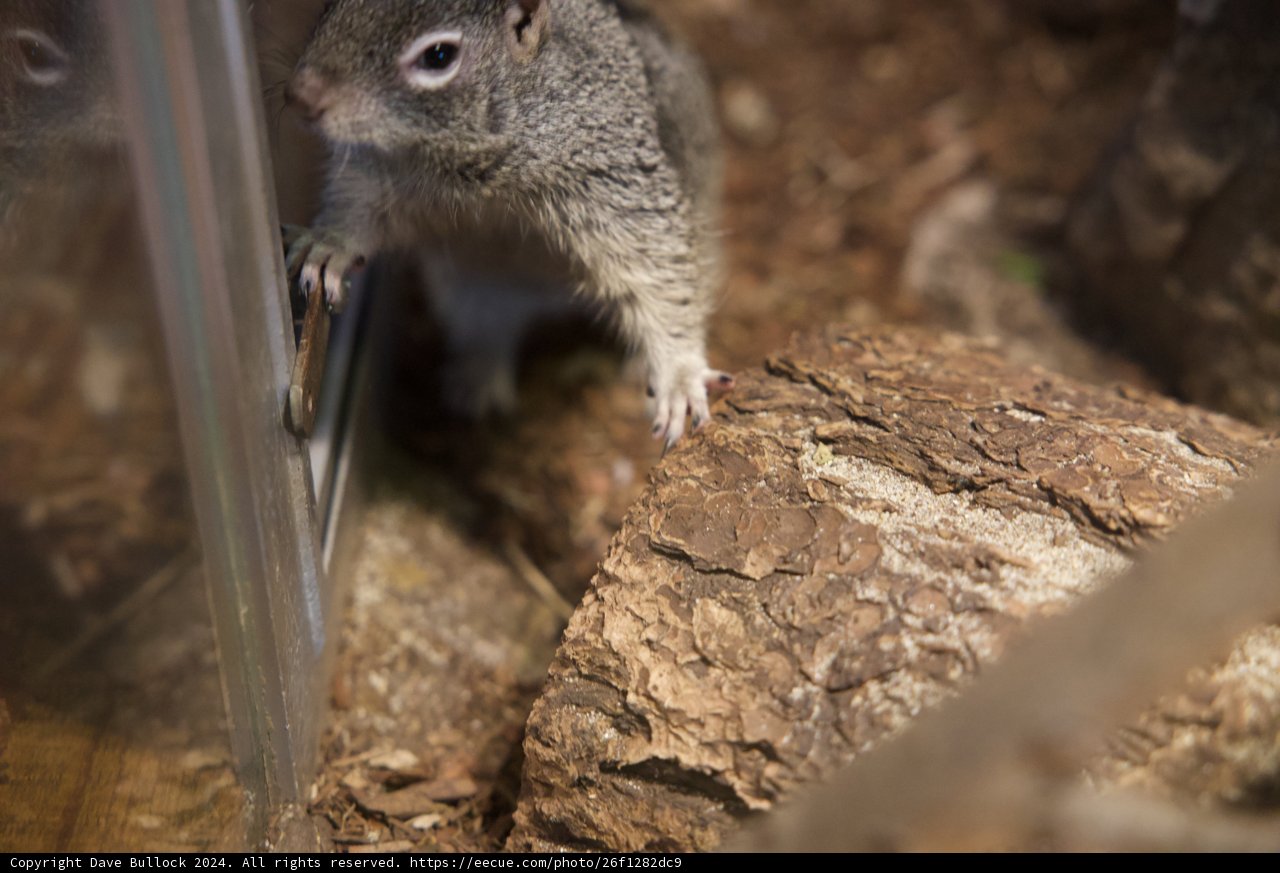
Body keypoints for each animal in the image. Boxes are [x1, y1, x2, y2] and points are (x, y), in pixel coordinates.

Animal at [284, 0, 732, 447]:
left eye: (438, 56)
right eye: (332, 7)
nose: (300, 96)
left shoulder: (618, 181)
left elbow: (660, 278)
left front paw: (678, 377)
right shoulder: (372, 178)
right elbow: (355, 213)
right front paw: (329, 247)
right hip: (475, 291)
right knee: (490, 330)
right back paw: (478, 378)